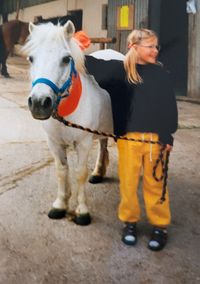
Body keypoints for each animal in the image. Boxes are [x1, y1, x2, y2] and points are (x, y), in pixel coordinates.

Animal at [24, 20, 124, 225]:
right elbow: (62, 171)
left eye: (65, 59)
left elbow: (79, 173)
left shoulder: (83, 143)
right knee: (103, 145)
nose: (39, 103)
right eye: (31, 58)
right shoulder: (54, 143)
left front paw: (82, 211)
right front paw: (60, 205)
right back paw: (98, 172)